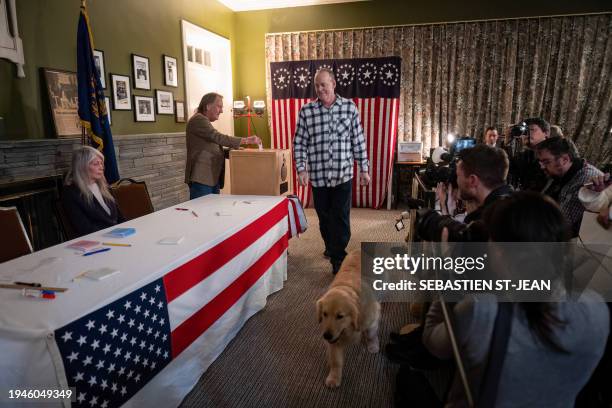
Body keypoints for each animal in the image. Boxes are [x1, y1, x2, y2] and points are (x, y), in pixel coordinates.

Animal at [318, 250, 380, 388]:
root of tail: (358, 250)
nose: (326, 336)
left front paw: (373, 345)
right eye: (324, 314)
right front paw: (334, 377)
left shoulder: (372, 317)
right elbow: (336, 361)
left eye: (340, 316)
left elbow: (371, 333)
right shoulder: (335, 341)